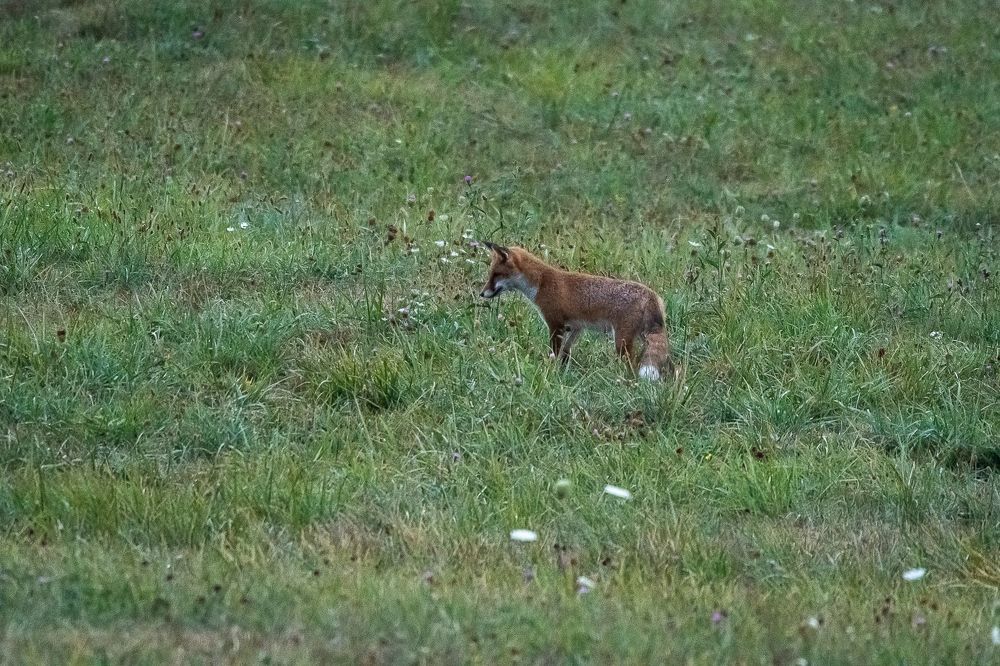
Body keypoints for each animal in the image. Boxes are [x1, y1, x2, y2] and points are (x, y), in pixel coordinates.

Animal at [479, 242, 672, 381]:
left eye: (495, 274)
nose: (481, 293)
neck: (541, 283)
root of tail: (651, 294)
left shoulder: (555, 324)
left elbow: (555, 353)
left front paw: (552, 372)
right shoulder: (576, 327)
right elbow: (566, 352)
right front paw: (563, 370)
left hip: (622, 341)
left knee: (631, 365)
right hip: (642, 337)